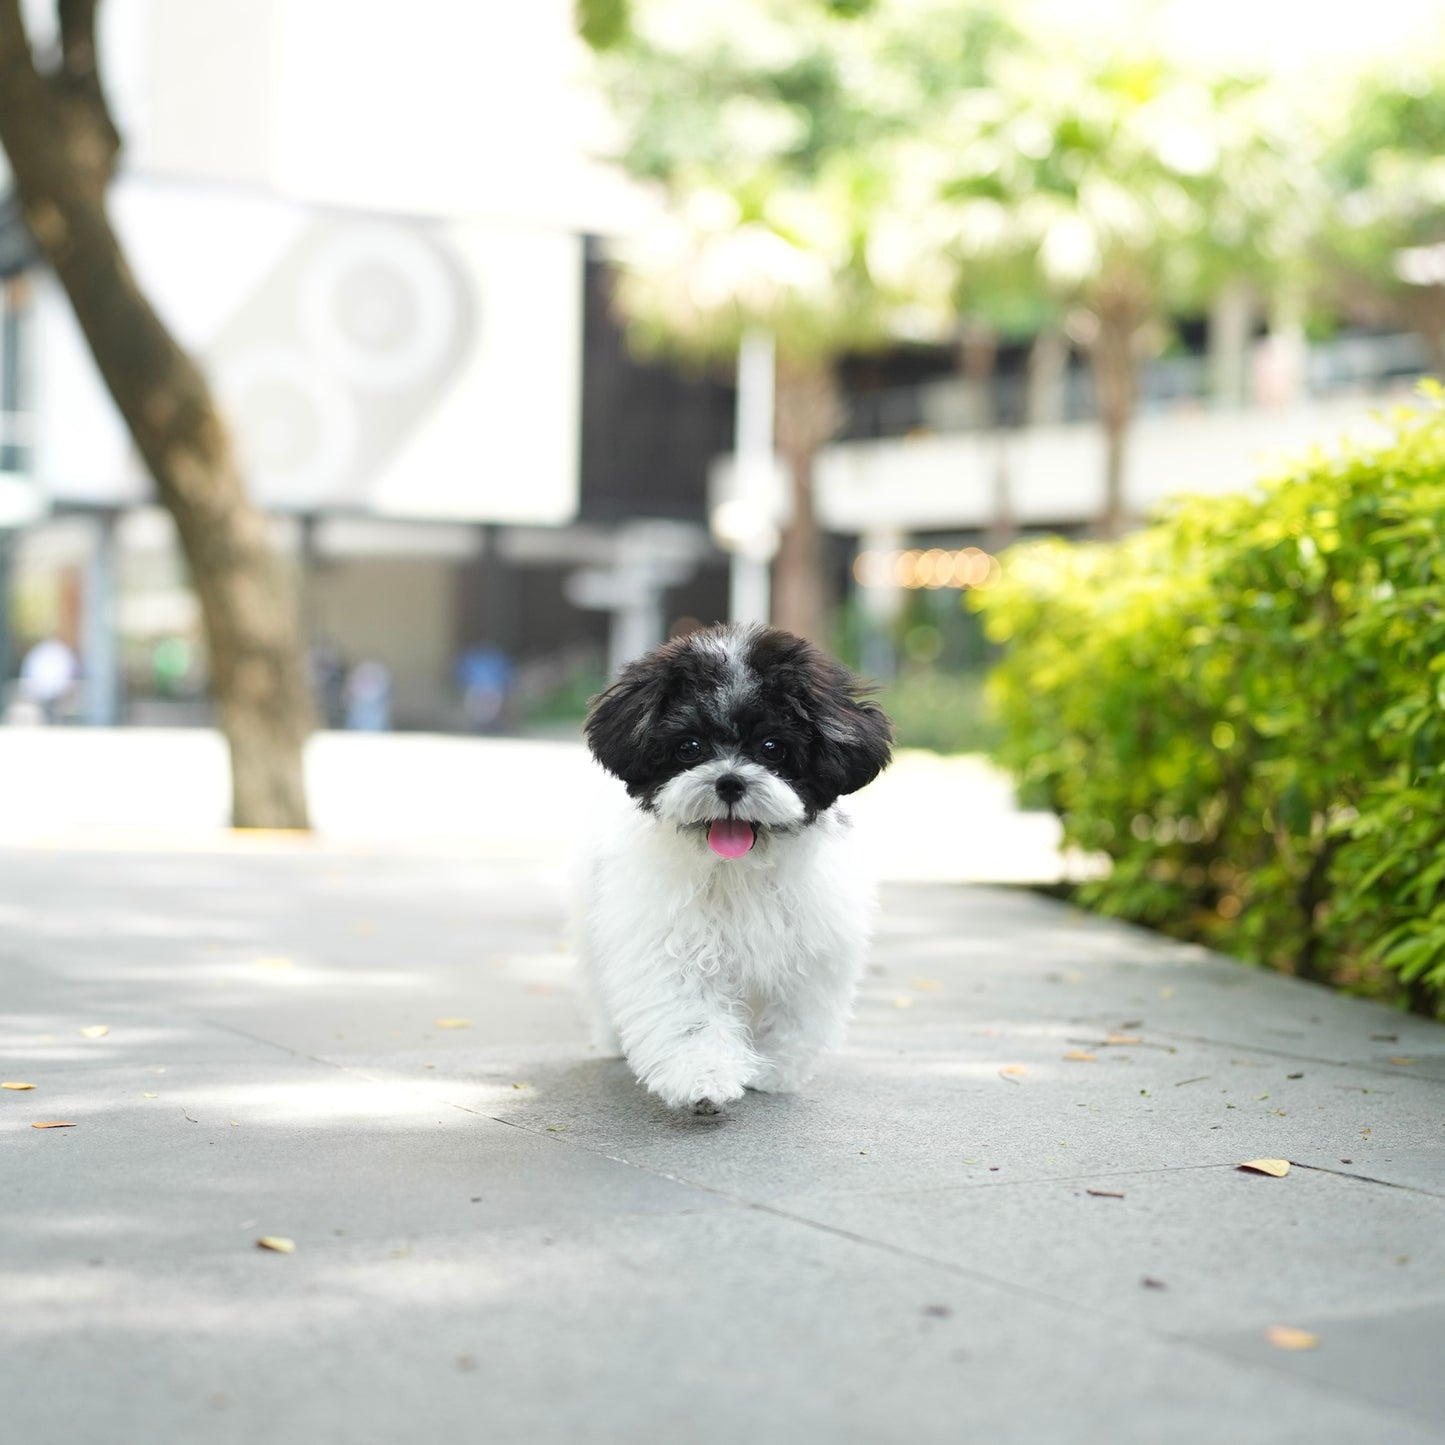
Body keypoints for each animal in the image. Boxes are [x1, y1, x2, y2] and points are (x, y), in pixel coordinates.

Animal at [575, 624, 890, 1115]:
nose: (729, 781)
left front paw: (775, 1071)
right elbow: (692, 1016)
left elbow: (793, 1015)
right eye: (689, 747)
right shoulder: (672, 943)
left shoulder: (811, 946)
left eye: (772, 748)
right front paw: (704, 1079)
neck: (738, 868)